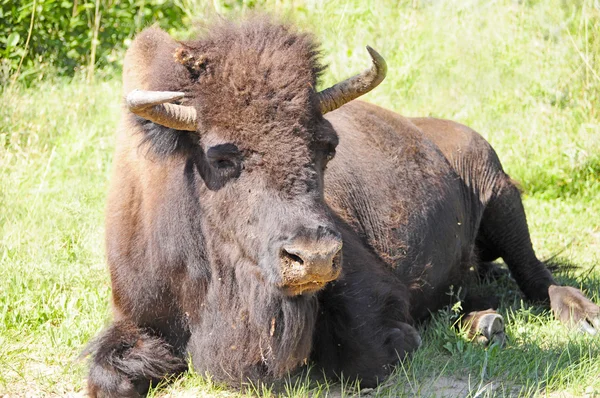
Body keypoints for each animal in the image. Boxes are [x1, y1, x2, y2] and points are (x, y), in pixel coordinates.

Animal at [85, 17, 600, 396]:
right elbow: (107, 374)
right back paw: (484, 323)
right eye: (221, 156)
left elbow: (367, 354)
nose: (313, 258)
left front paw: (409, 336)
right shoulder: (135, 317)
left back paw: (580, 316)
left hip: (500, 193)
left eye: (327, 146)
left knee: (535, 275)